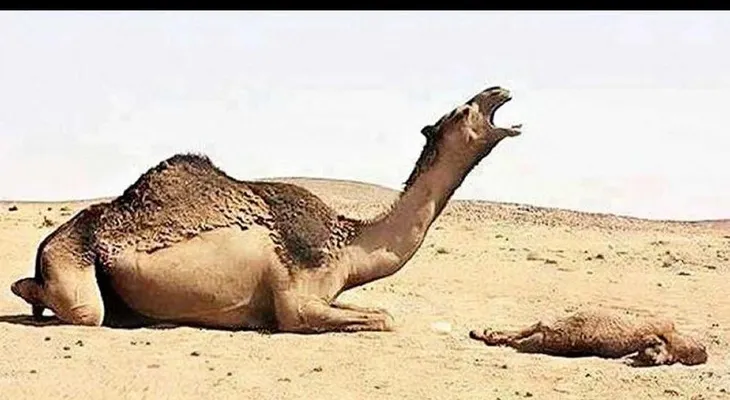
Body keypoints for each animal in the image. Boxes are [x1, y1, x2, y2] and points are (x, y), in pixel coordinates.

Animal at [10, 86, 522, 333]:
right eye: (463, 111)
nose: (498, 91)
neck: (349, 243)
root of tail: (46, 243)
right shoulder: (298, 303)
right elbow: (383, 318)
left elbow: (378, 311)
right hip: (72, 267)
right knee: (80, 309)